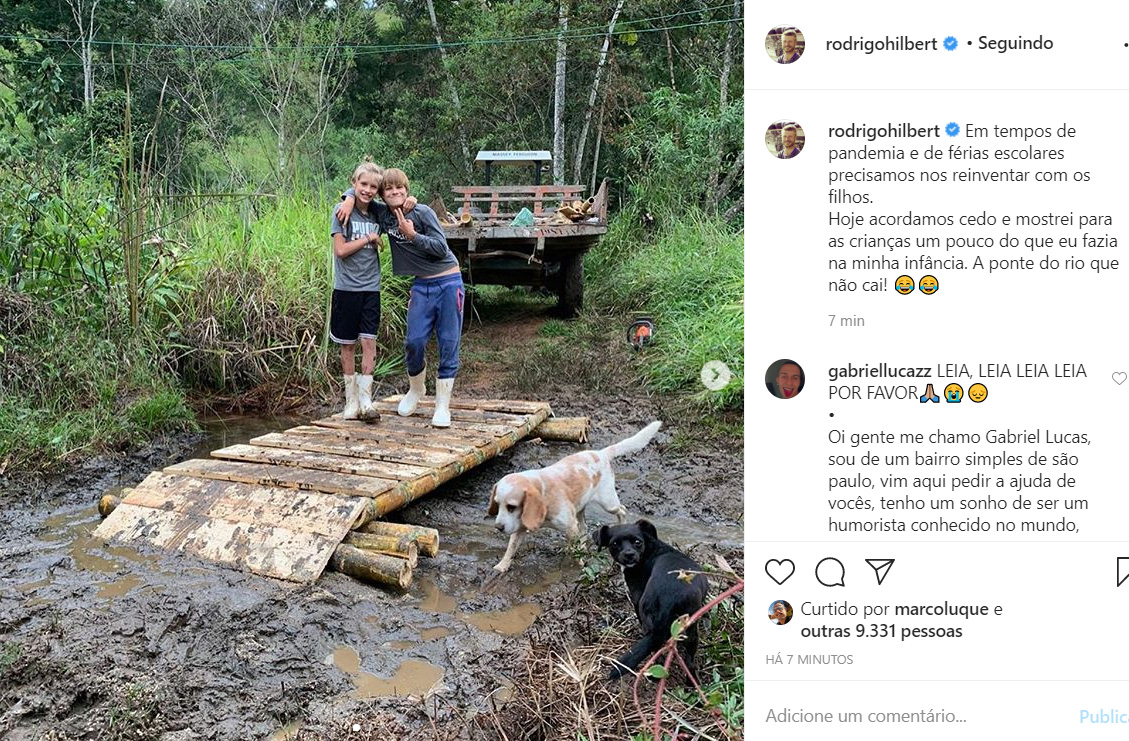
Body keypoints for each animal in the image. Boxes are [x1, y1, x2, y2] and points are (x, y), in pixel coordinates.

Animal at [485, 420, 659, 576]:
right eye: (497, 504)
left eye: (511, 507)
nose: (498, 527)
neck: (543, 492)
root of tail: (601, 453)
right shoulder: (520, 528)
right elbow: (511, 548)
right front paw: (502, 566)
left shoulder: (569, 526)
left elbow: (576, 553)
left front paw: (579, 565)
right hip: (580, 507)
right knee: (584, 528)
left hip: (608, 502)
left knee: (621, 510)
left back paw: (620, 526)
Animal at [591, 517, 704, 682]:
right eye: (615, 544)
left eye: (637, 542)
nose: (629, 554)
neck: (650, 549)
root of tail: (669, 597)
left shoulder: (636, 599)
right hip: (689, 627)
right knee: (687, 659)